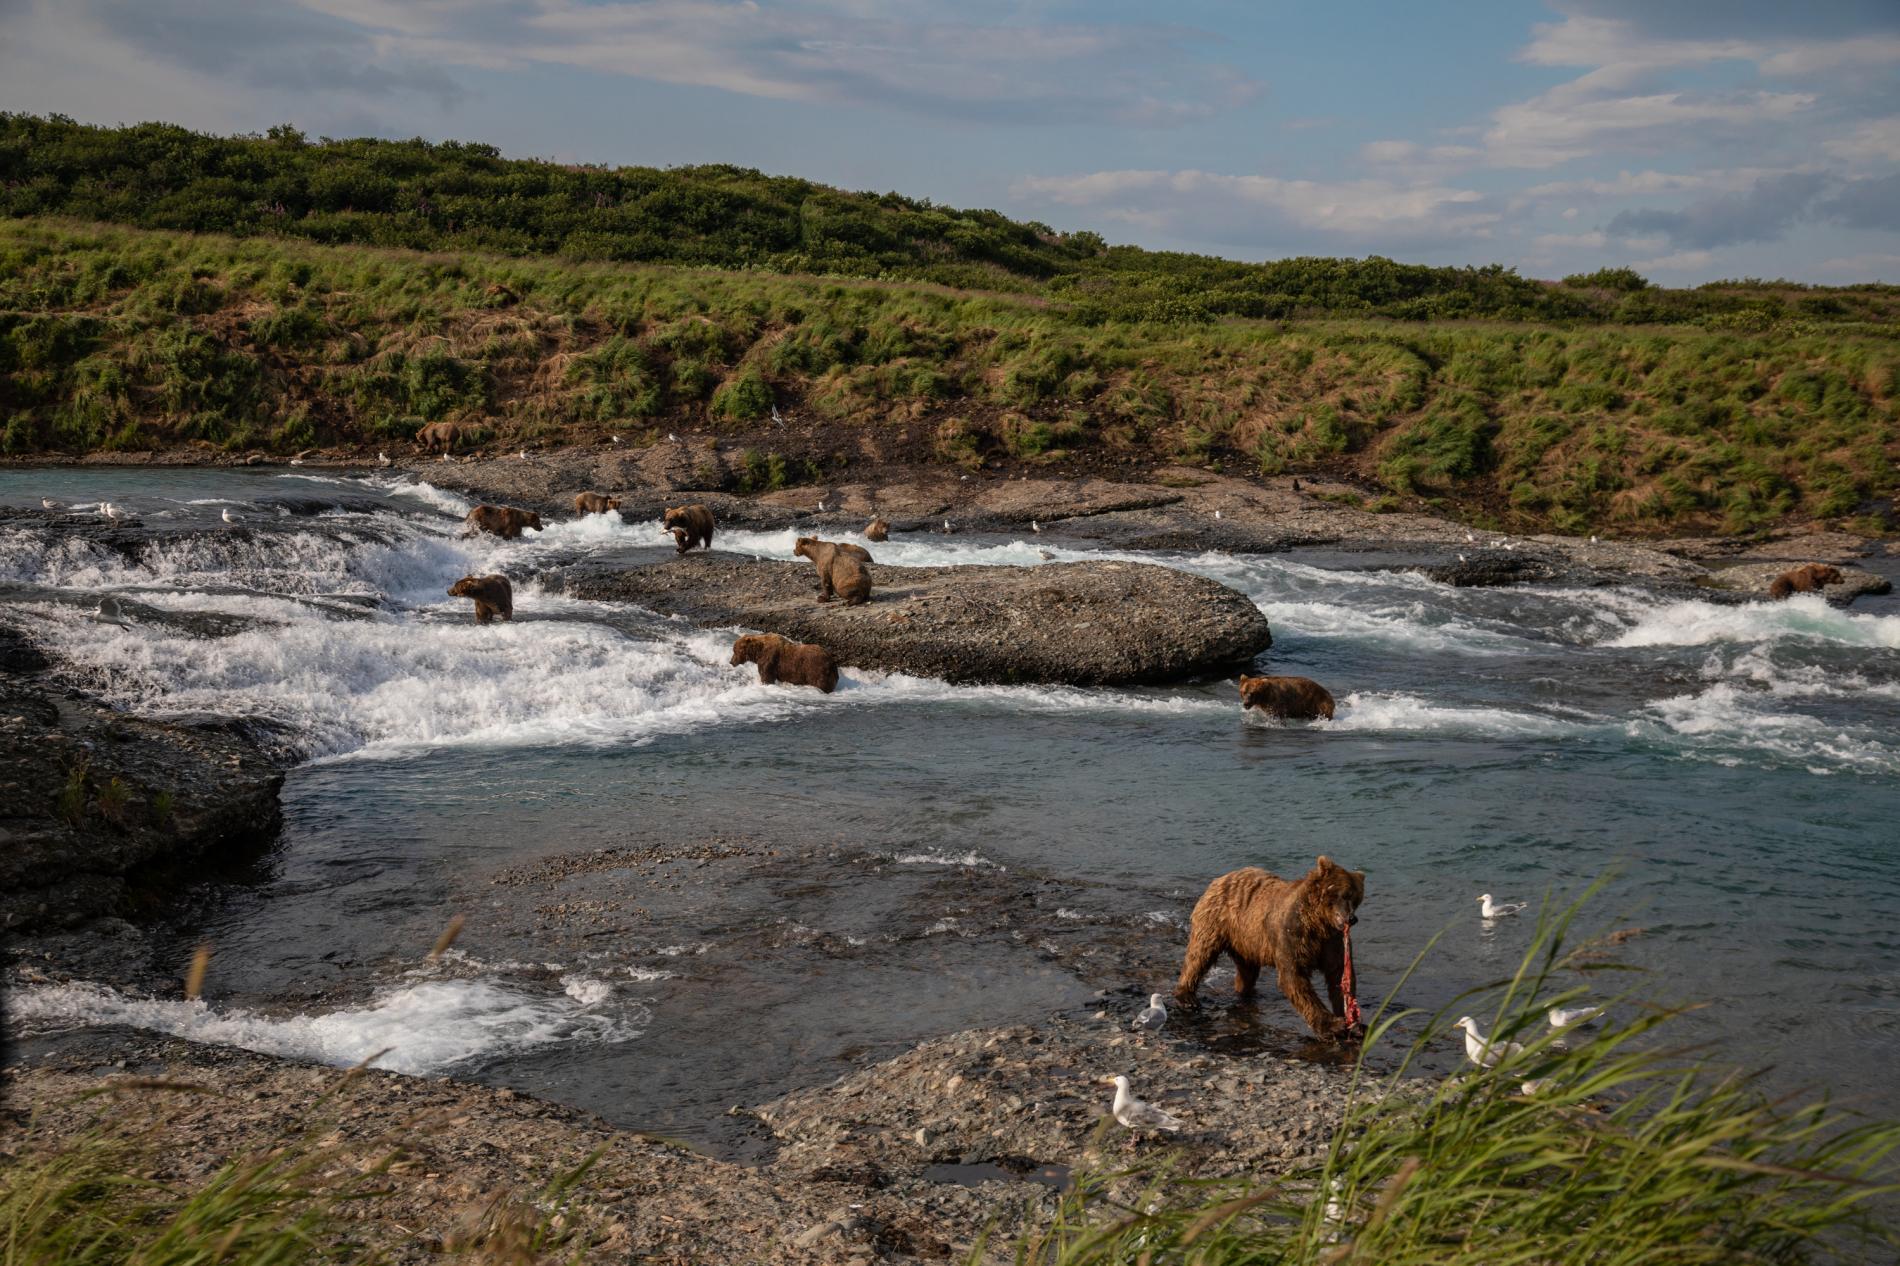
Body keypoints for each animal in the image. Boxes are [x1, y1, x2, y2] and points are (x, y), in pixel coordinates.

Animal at [1170, 859, 1368, 1034]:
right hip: (1216, 919)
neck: (1318, 923)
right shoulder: (1293, 935)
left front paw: (1355, 1023)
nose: (1352, 918)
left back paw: (1244, 992)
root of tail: (1220, 878)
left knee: (1247, 971)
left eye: (1356, 898)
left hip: (1246, 940)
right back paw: (1187, 996)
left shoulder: (1332, 942)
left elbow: (1339, 975)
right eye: (1345, 894)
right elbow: (1294, 977)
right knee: (1200, 954)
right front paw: (1331, 1024)